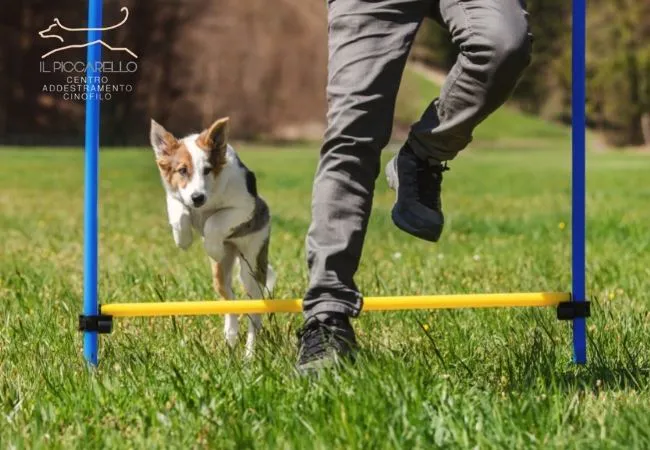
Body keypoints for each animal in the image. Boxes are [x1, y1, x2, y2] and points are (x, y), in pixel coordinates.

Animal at [150, 117, 275, 358]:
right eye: (182, 170)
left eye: (207, 170)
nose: (197, 198)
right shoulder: (174, 195)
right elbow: (179, 212)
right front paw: (183, 239)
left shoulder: (244, 206)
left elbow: (214, 221)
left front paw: (212, 246)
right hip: (220, 274)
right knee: (230, 302)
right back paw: (230, 340)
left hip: (252, 267)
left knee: (253, 315)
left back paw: (249, 355)